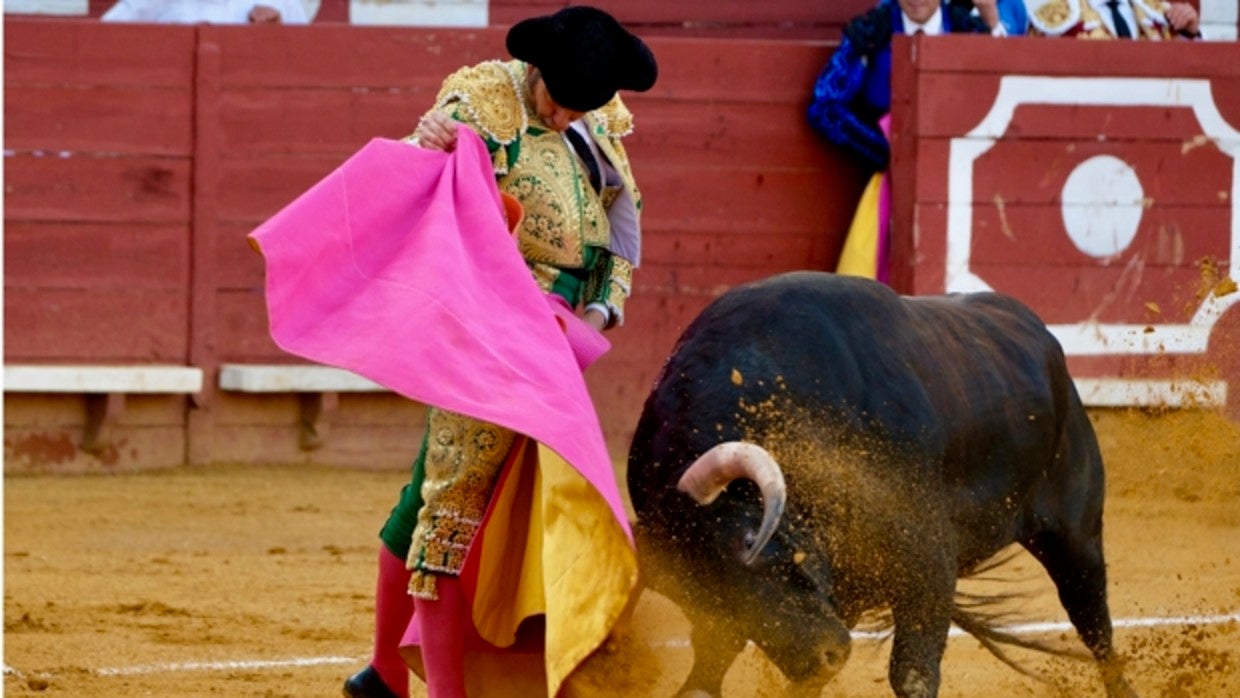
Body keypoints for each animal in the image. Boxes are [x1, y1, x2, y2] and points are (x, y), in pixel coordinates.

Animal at [624, 273, 1135, 698]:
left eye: (750, 541)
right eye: (700, 599)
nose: (824, 659)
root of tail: (1042, 337)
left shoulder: (927, 556)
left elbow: (912, 676)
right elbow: (702, 680)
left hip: (1075, 535)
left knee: (1097, 629)